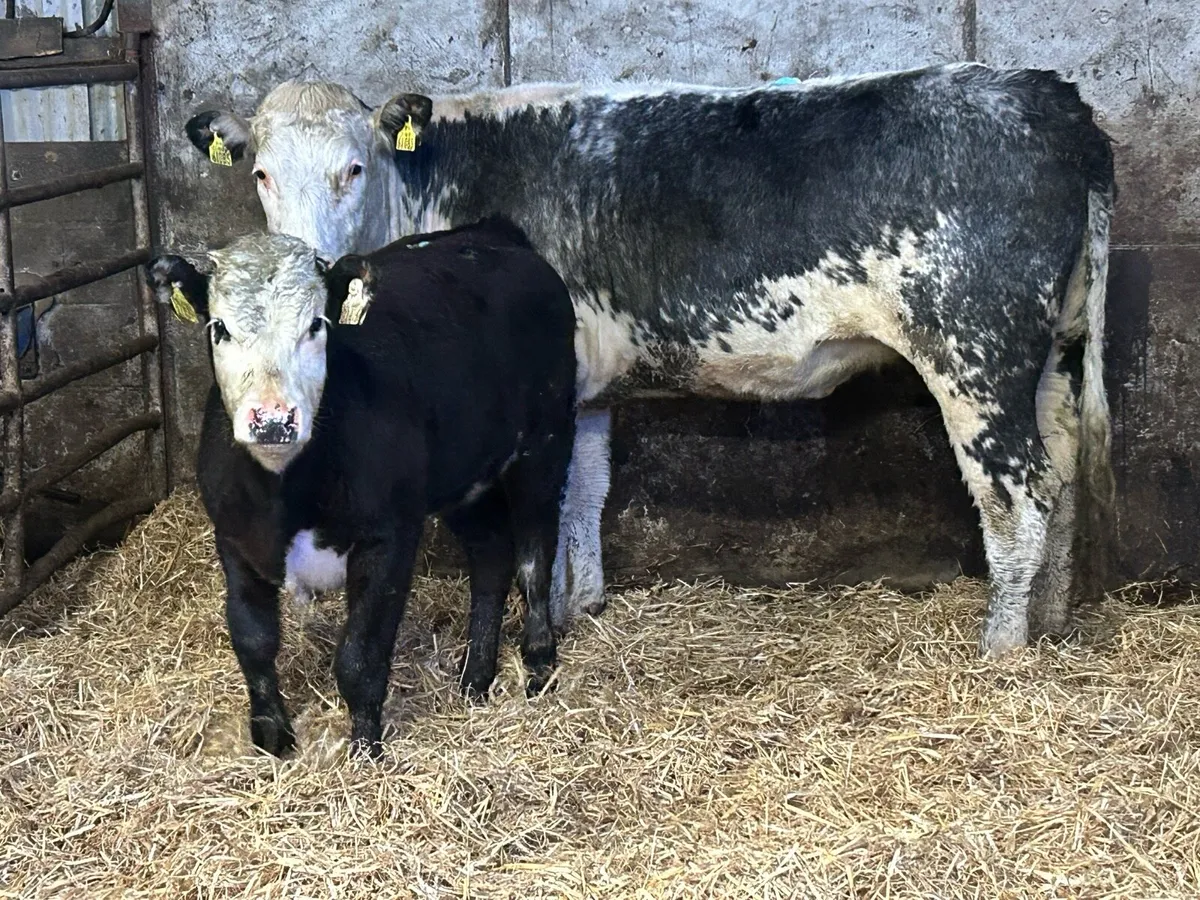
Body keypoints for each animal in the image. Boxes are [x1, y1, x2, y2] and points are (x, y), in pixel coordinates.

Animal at [144, 217, 578, 756]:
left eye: (316, 325)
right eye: (219, 328)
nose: (273, 420)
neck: (284, 497)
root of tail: (491, 233)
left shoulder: (389, 536)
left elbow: (360, 657)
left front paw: (366, 750)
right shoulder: (234, 537)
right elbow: (253, 640)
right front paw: (271, 735)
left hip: (546, 443)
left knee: (535, 556)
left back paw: (538, 660)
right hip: (464, 477)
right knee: (492, 558)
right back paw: (475, 677)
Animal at [185, 62, 1117, 659]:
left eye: (354, 166)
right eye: (262, 174)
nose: (309, 264)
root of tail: (1053, 99)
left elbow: (548, 503)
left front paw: (551, 618)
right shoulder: (585, 387)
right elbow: (587, 493)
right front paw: (584, 602)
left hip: (975, 351)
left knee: (1016, 495)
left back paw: (1001, 649)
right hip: (1051, 352)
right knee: (1066, 465)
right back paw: (1053, 621)